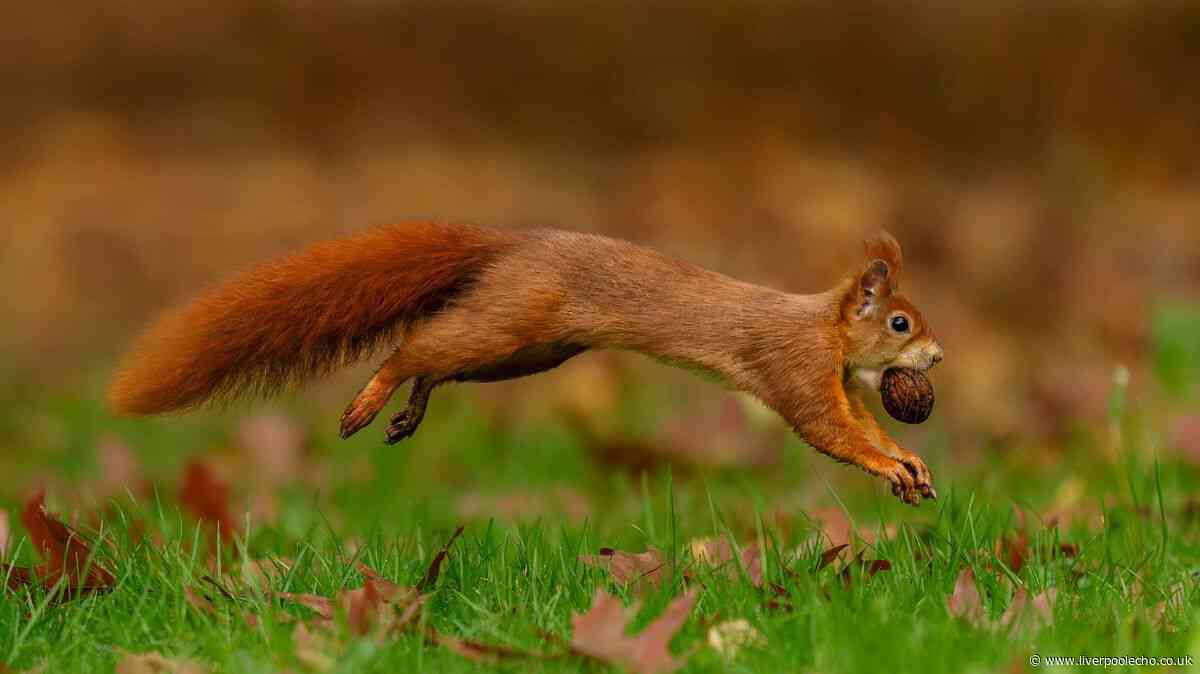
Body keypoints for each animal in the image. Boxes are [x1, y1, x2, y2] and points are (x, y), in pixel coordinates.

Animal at [110, 222, 943, 505]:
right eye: (901, 321)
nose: (937, 355)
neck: (824, 328)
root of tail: (509, 246)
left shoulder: (836, 380)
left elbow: (857, 423)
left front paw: (907, 459)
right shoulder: (796, 367)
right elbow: (826, 430)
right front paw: (891, 464)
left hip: (529, 353)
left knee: (436, 363)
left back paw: (410, 409)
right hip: (511, 322)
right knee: (414, 347)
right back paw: (371, 400)